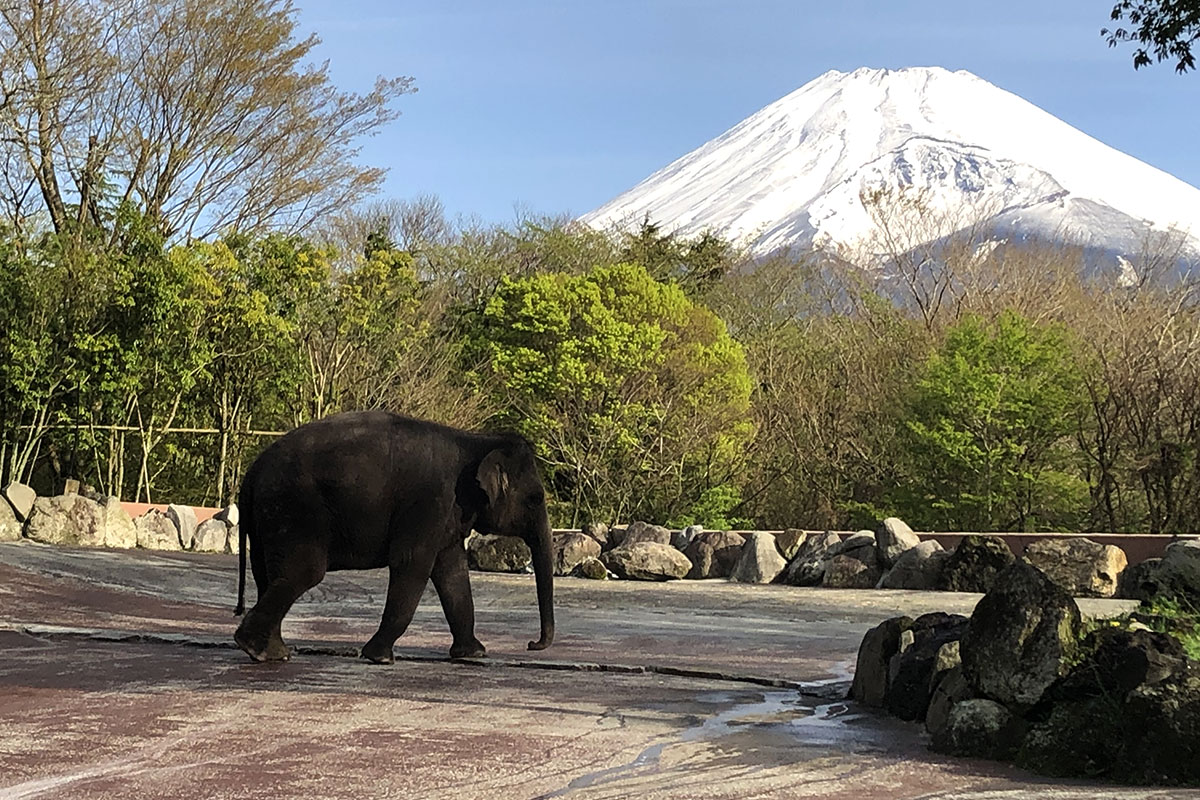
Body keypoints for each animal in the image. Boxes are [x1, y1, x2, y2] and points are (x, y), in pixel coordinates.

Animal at [231, 410, 554, 666]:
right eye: (536, 499)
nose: (532, 644)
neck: (477, 442)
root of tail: (252, 473)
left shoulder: (448, 514)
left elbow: (452, 572)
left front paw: (473, 653)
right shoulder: (430, 502)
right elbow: (413, 564)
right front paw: (380, 657)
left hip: (269, 518)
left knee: (269, 575)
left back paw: (271, 652)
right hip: (295, 509)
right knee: (304, 573)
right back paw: (259, 650)